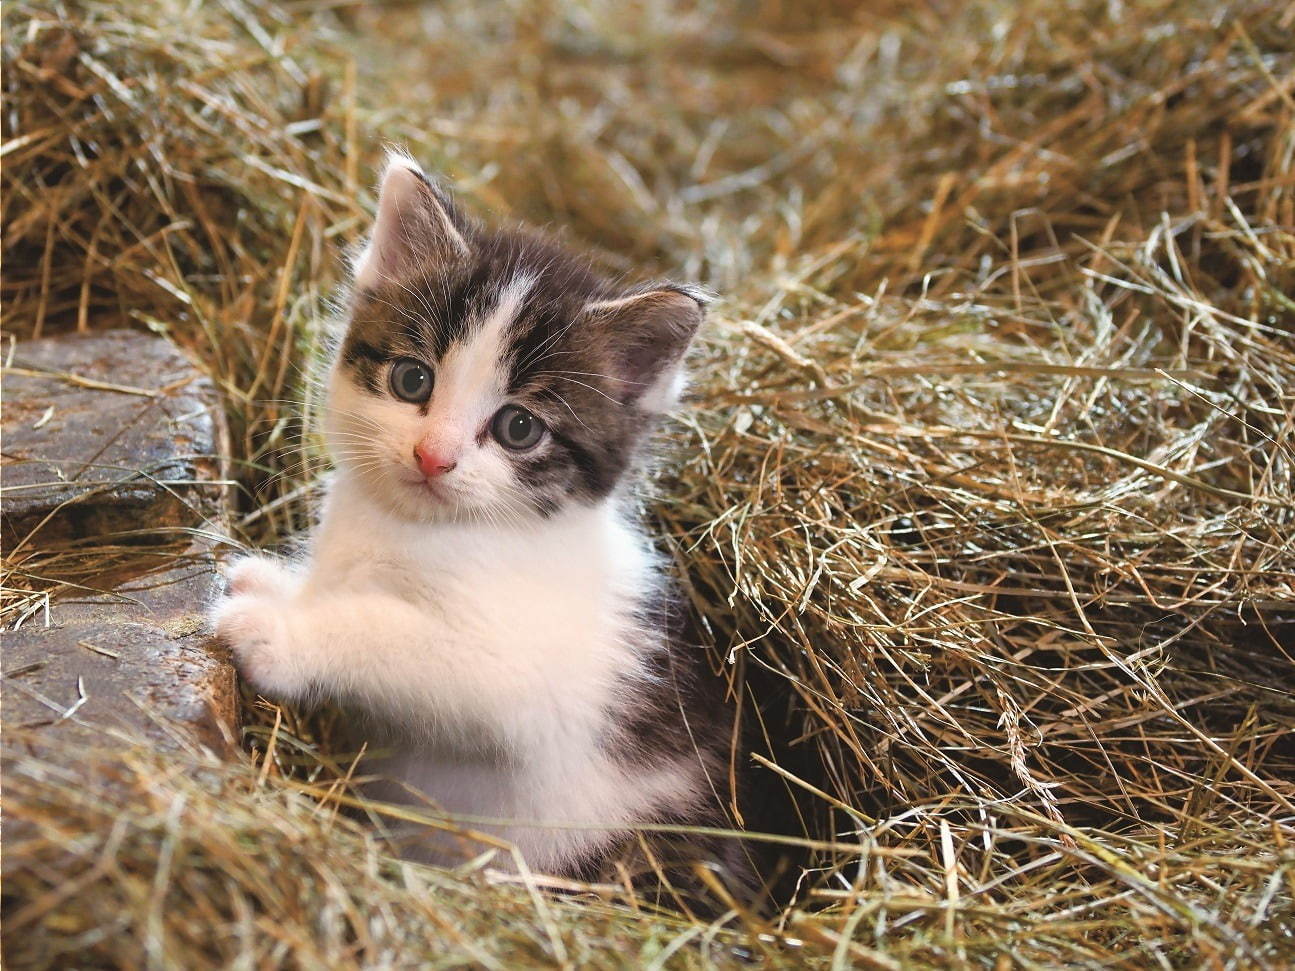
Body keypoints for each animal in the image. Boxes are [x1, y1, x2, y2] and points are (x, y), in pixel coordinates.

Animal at [212, 150, 751, 906]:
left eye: (518, 427)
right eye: (412, 380)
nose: (432, 455)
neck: (418, 527)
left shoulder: (522, 680)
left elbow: (392, 635)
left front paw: (279, 629)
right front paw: (279, 584)